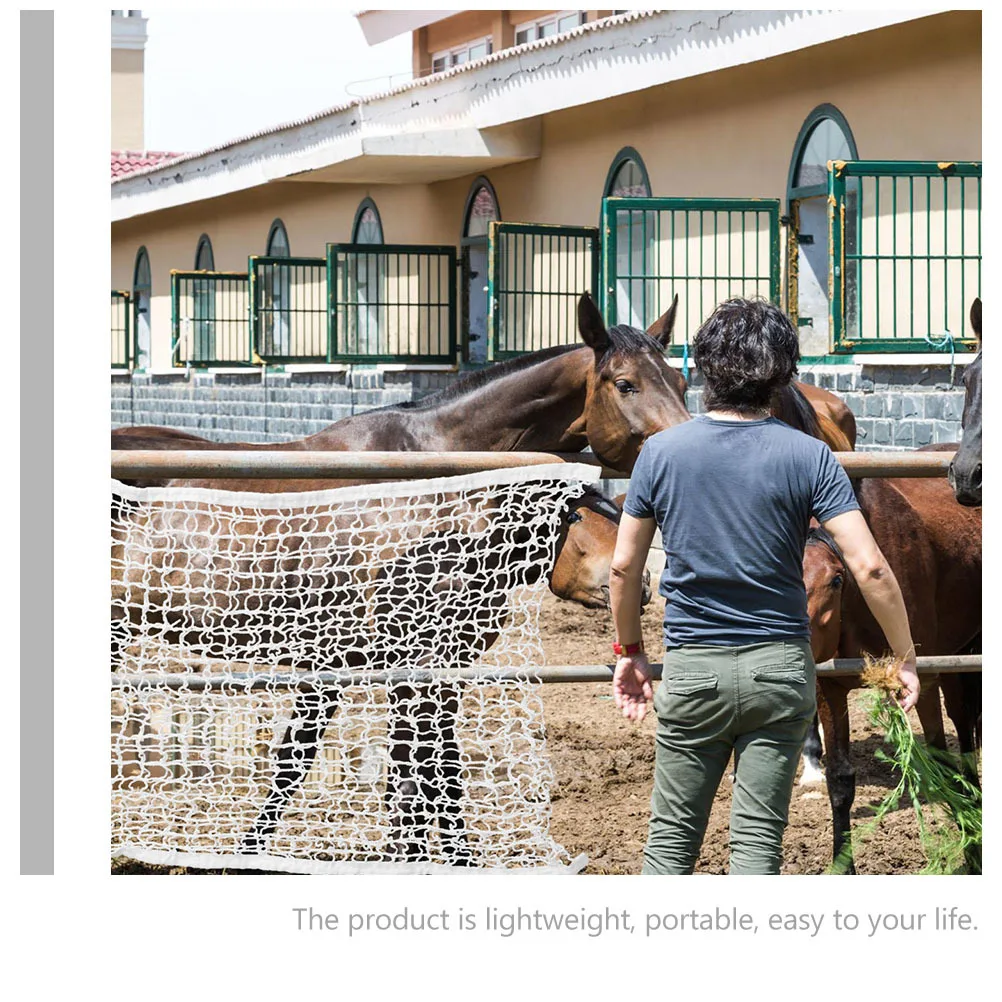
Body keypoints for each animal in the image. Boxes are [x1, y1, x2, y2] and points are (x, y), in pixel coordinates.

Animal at [801, 471, 981, 873]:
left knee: (964, 727)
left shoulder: (924, 680)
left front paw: (971, 846)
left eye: (835, 581)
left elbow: (941, 760)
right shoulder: (828, 689)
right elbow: (840, 780)